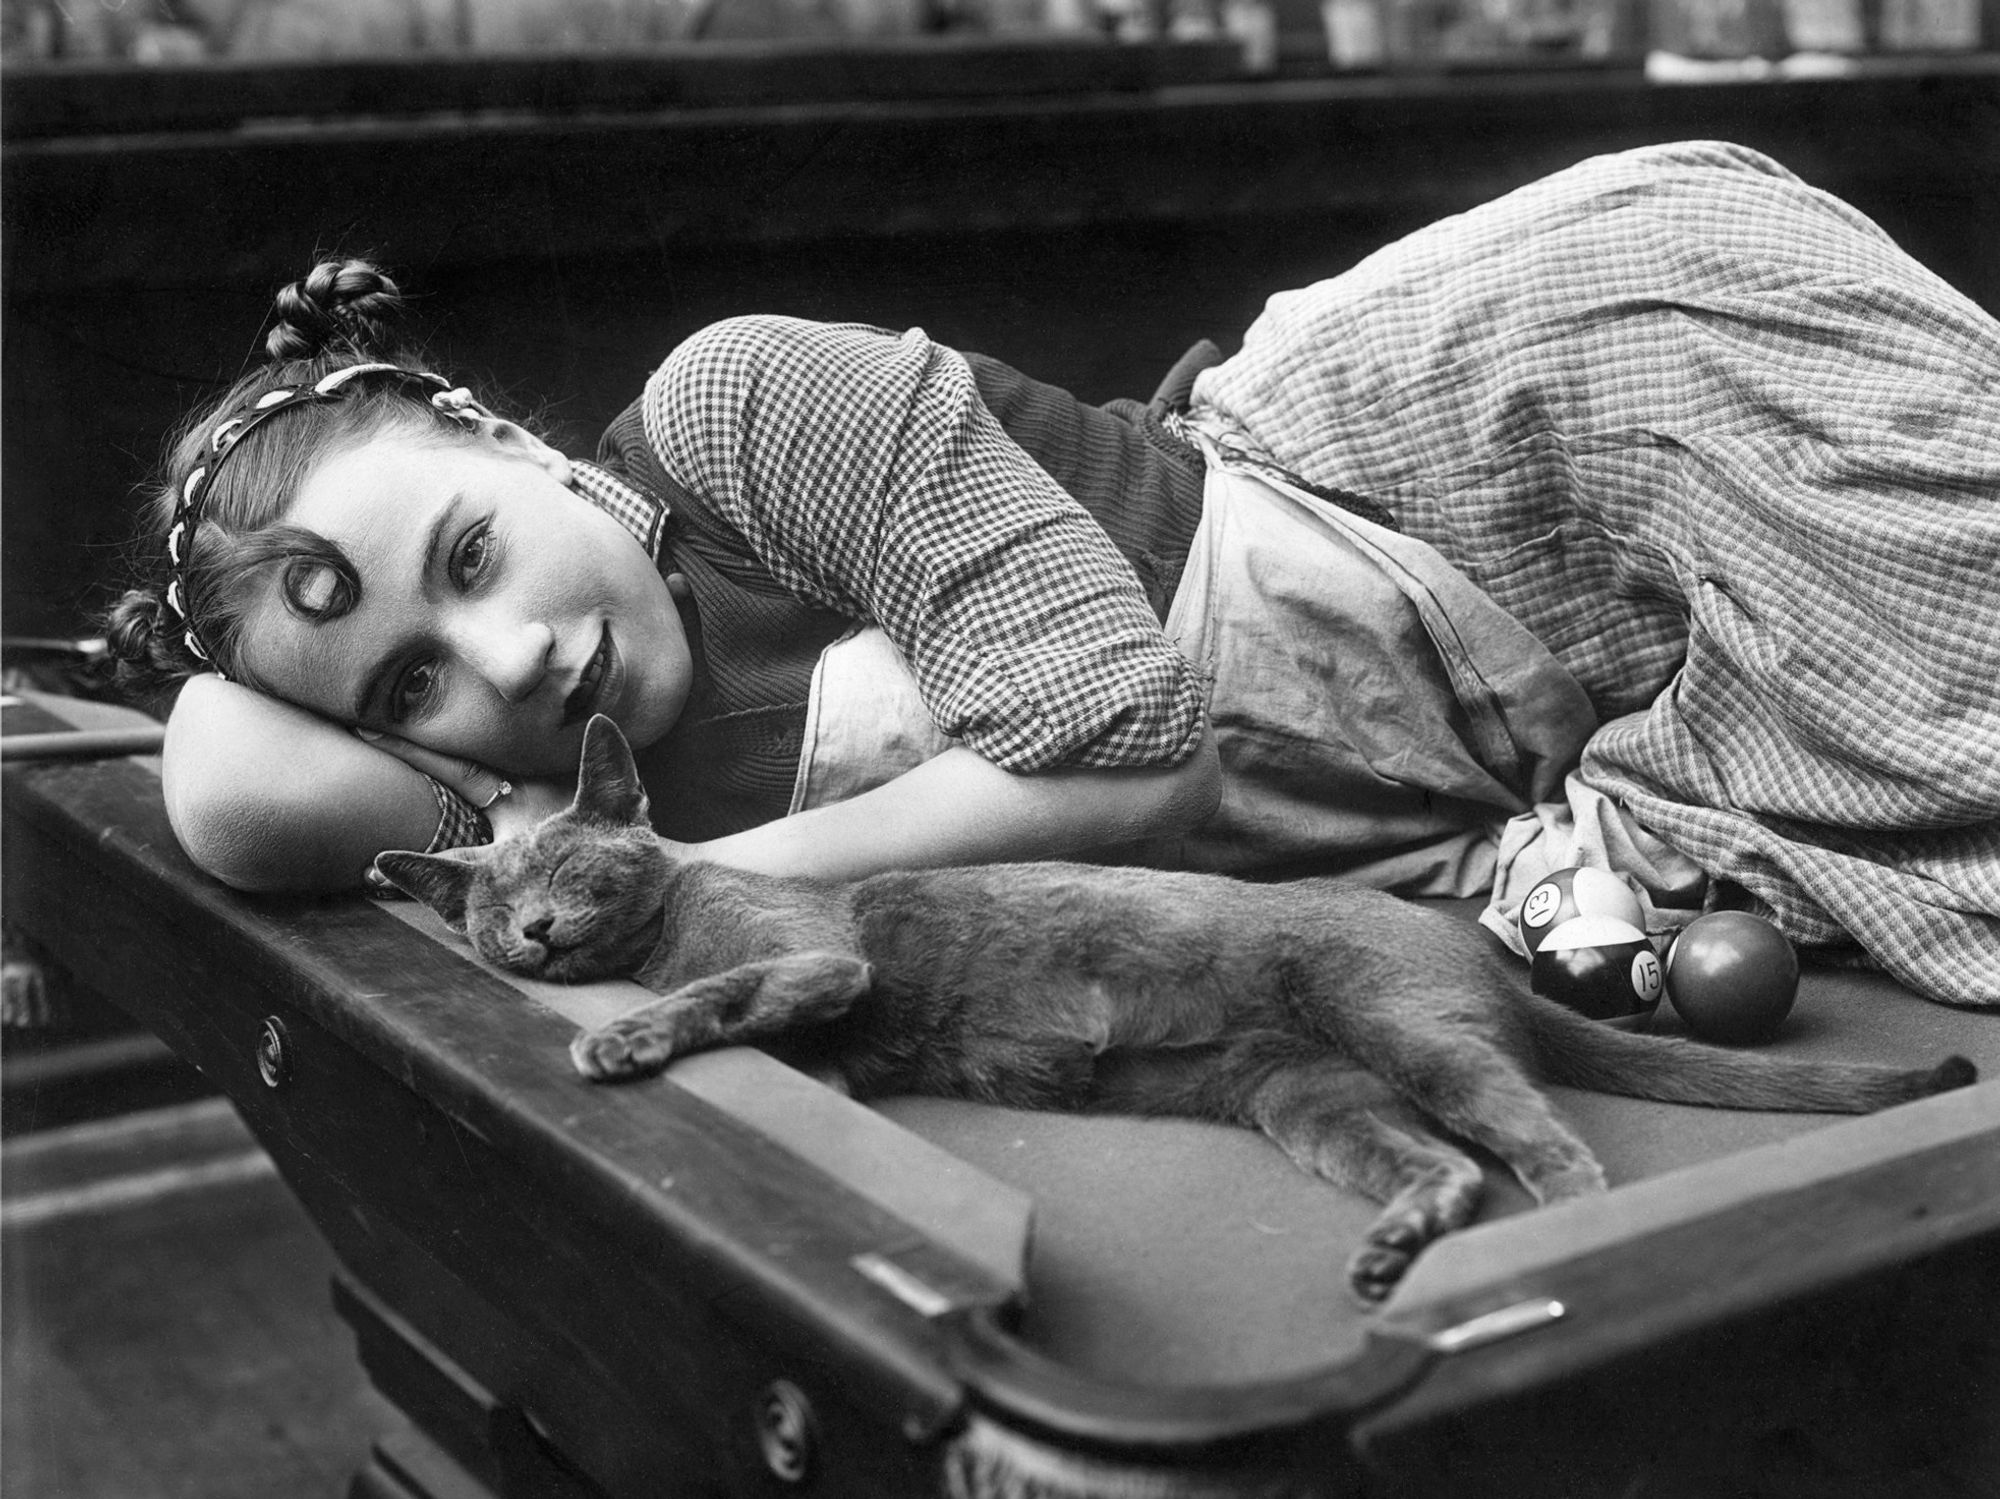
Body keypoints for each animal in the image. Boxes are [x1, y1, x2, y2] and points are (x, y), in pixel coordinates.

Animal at [378, 715, 1984, 1303]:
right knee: (1444, 1163)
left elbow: (734, 986)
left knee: (1550, 1143)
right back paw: (1396, 1246)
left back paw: (1553, 1237)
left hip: (1402, 1032)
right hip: (1305, 1094)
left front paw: (619, 1034)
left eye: (568, 865)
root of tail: (1475, 959)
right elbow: (790, 1057)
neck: (664, 921)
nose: (527, 933)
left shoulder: (812, 955)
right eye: (485, 905)